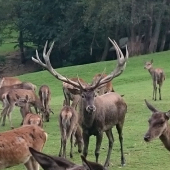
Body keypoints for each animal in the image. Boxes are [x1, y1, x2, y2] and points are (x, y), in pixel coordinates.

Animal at [31, 37, 128, 167]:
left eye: (94, 94)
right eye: (82, 95)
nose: (91, 108)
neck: (90, 123)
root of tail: (120, 97)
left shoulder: (100, 130)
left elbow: (97, 152)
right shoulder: (86, 132)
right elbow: (85, 152)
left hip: (121, 120)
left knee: (121, 137)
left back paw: (123, 161)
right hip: (108, 126)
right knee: (112, 140)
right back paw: (106, 163)